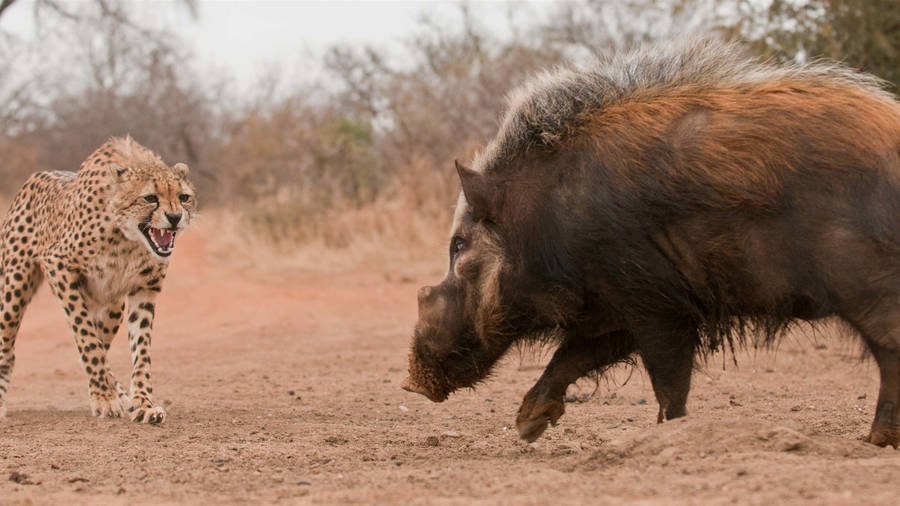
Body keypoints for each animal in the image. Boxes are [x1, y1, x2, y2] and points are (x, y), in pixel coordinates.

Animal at [401, 38, 900, 446]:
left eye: (459, 246)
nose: (411, 383)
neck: (542, 217)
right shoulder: (613, 309)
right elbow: (575, 355)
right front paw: (527, 426)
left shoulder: (654, 303)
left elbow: (667, 377)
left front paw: (666, 434)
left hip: (867, 283)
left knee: (890, 349)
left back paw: (875, 441)